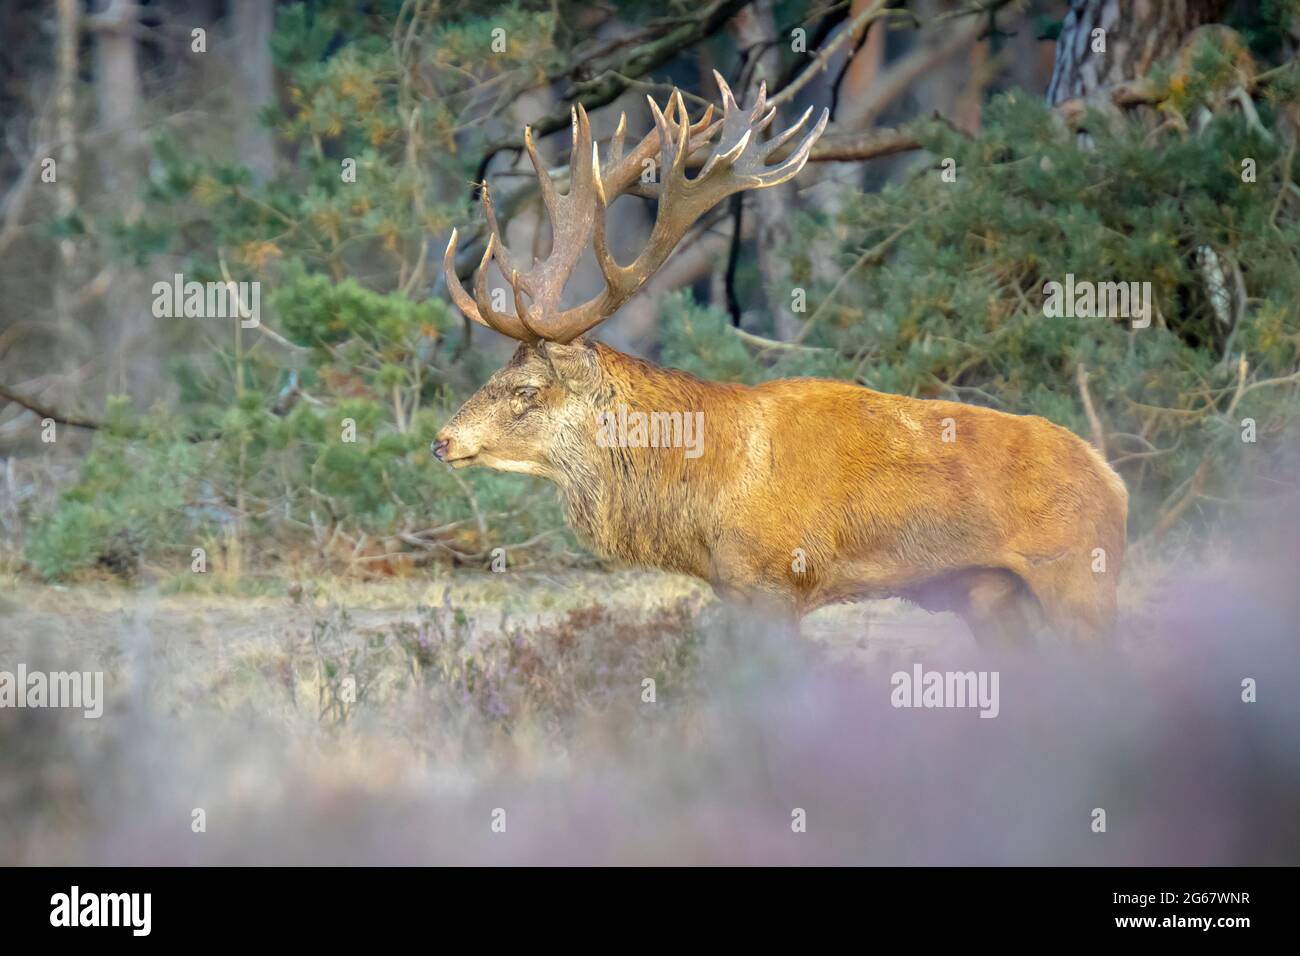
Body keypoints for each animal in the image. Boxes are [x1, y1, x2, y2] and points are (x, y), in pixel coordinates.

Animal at [433, 72, 1128, 646]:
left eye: (527, 390)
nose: (442, 440)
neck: (704, 493)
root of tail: (1115, 482)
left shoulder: (777, 580)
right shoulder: (736, 591)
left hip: (1080, 577)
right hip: (992, 597)